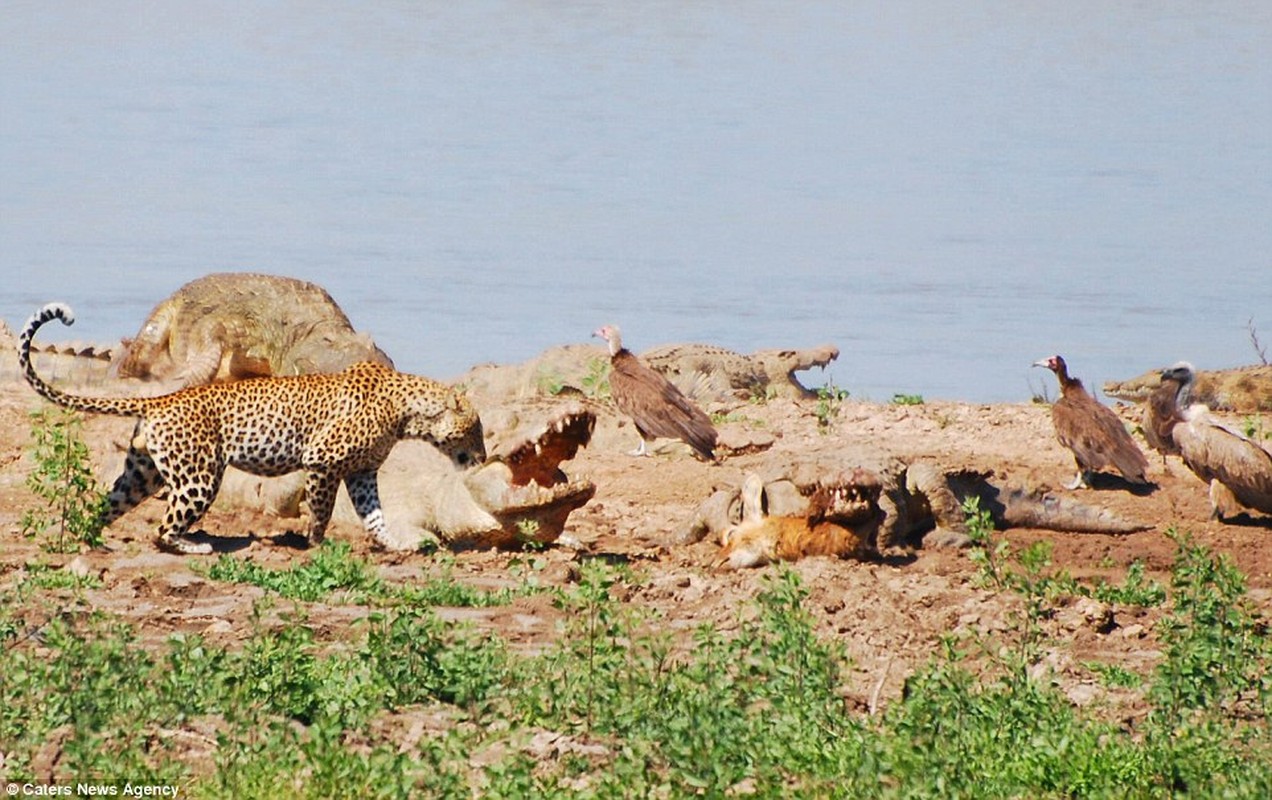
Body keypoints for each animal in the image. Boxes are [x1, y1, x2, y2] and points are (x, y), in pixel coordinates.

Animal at [19, 302, 485, 551]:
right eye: (476, 429)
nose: (482, 456)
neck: (407, 412)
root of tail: (162, 398)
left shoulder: (362, 472)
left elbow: (375, 514)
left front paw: (394, 544)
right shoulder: (323, 461)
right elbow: (322, 509)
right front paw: (316, 543)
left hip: (143, 472)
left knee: (109, 505)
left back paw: (88, 537)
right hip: (200, 477)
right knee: (163, 529)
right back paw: (195, 545)